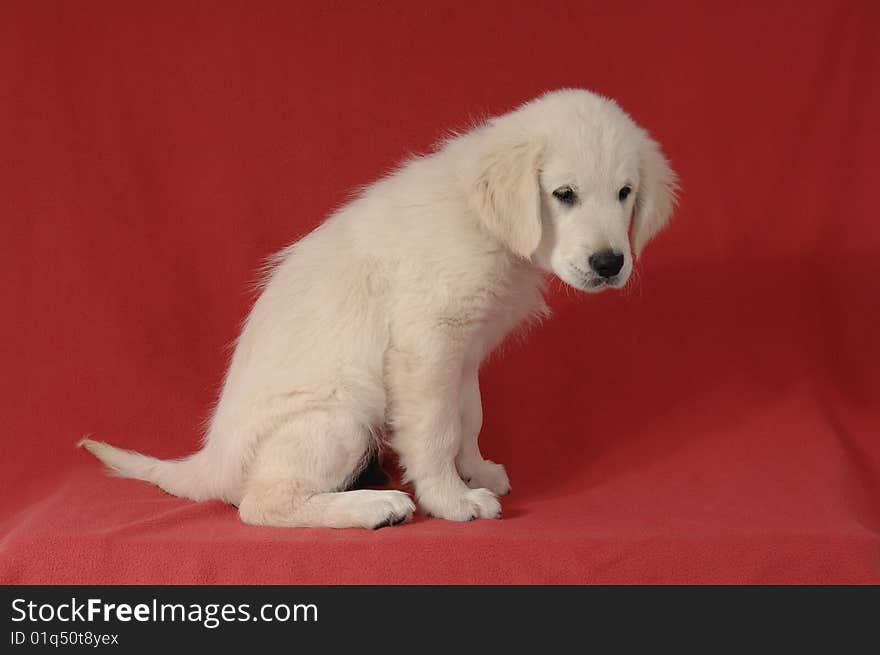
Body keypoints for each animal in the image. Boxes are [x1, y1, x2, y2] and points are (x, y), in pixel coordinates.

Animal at [81, 88, 672, 528]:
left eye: (625, 192)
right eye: (564, 194)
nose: (609, 263)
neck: (486, 224)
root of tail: (210, 462)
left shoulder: (462, 353)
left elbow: (469, 416)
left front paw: (475, 470)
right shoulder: (426, 345)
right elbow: (436, 428)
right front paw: (451, 500)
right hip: (342, 415)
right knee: (260, 504)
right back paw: (374, 506)